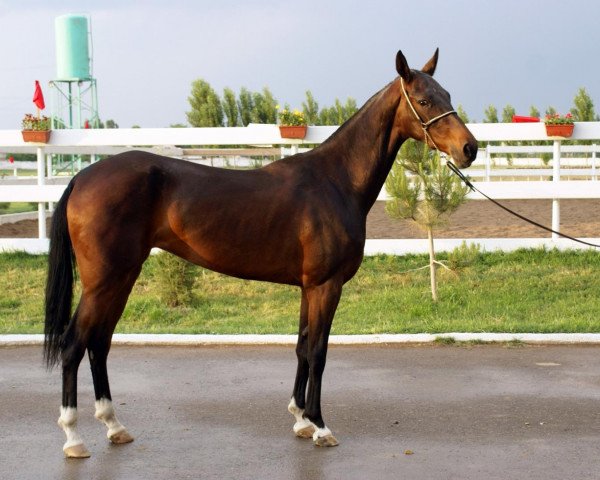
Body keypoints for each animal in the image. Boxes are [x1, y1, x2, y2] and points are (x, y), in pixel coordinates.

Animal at [44, 48, 476, 458]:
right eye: (423, 100)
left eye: (448, 95)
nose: (469, 148)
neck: (335, 181)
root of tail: (81, 177)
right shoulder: (326, 285)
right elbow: (318, 351)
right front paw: (320, 427)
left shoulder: (308, 287)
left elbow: (302, 346)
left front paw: (300, 419)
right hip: (103, 281)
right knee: (74, 344)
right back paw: (73, 437)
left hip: (122, 277)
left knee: (99, 343)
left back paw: (114, 426)